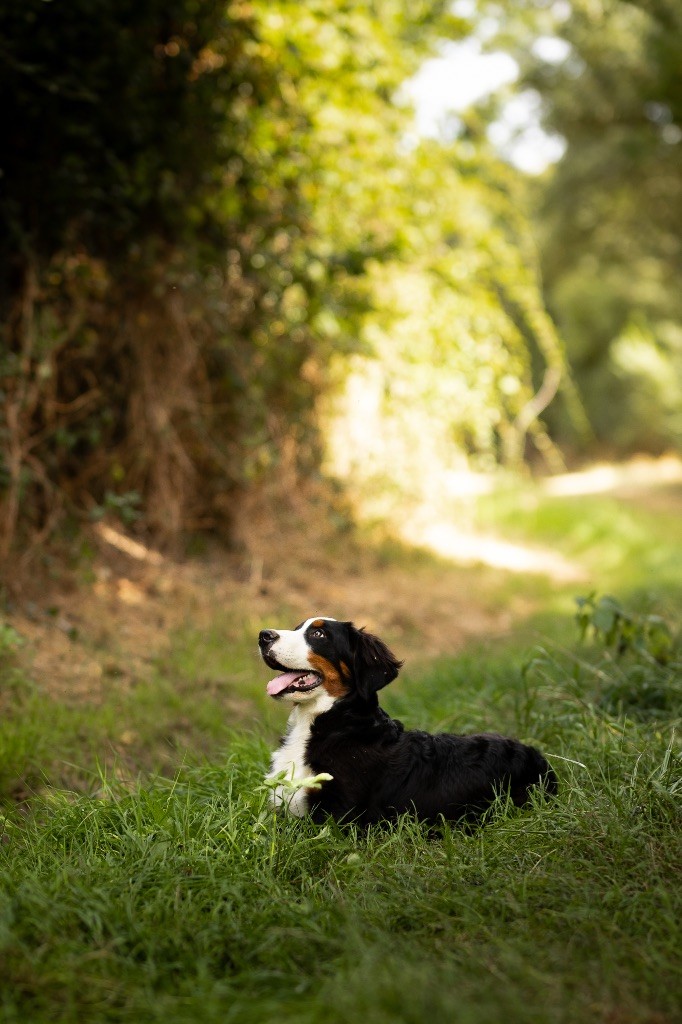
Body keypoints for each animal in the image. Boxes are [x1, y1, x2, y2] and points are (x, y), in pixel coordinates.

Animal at [258, 614, 557, 823]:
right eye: (297, 627)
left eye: (318, 633)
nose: (263, 635)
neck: (327, 724)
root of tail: (539, 759)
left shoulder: (339, 817)